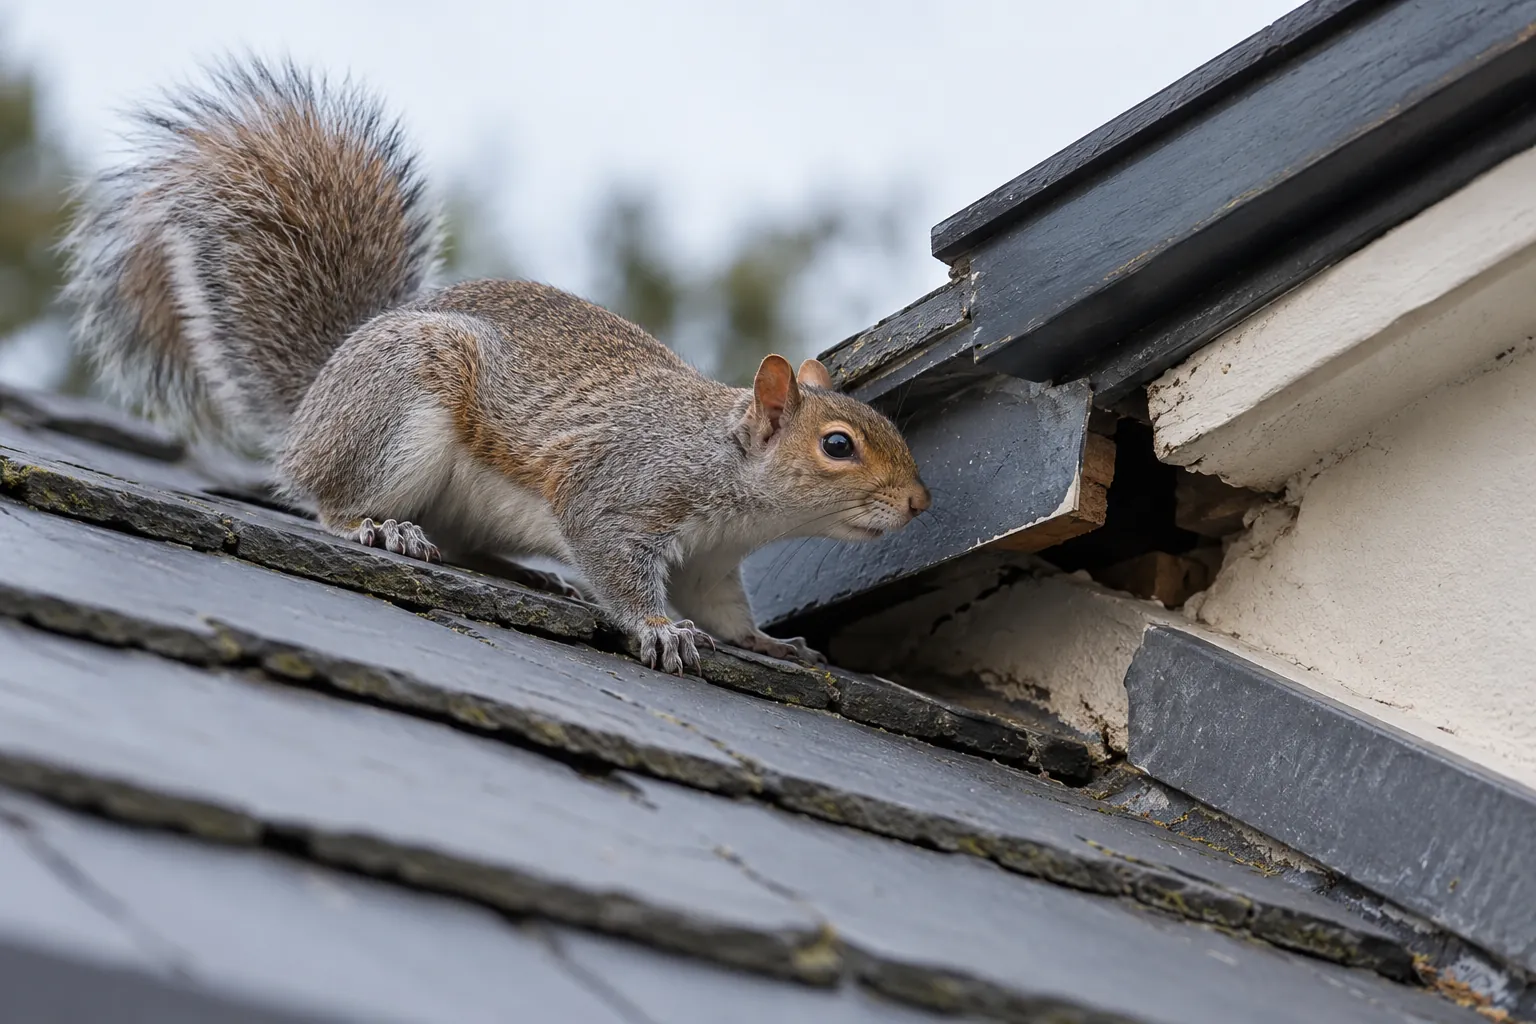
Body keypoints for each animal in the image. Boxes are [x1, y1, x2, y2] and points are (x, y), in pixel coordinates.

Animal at [60, 58, 931, 675]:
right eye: (839, 445)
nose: (921, 503)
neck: (730, 473)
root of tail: (319, 394)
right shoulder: (621, 492)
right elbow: (614, 559)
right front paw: (659, 630)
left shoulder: (713, 564)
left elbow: (726, 613)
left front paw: (769, 644)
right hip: (397, 416)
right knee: (331, 501)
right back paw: (379, 526)